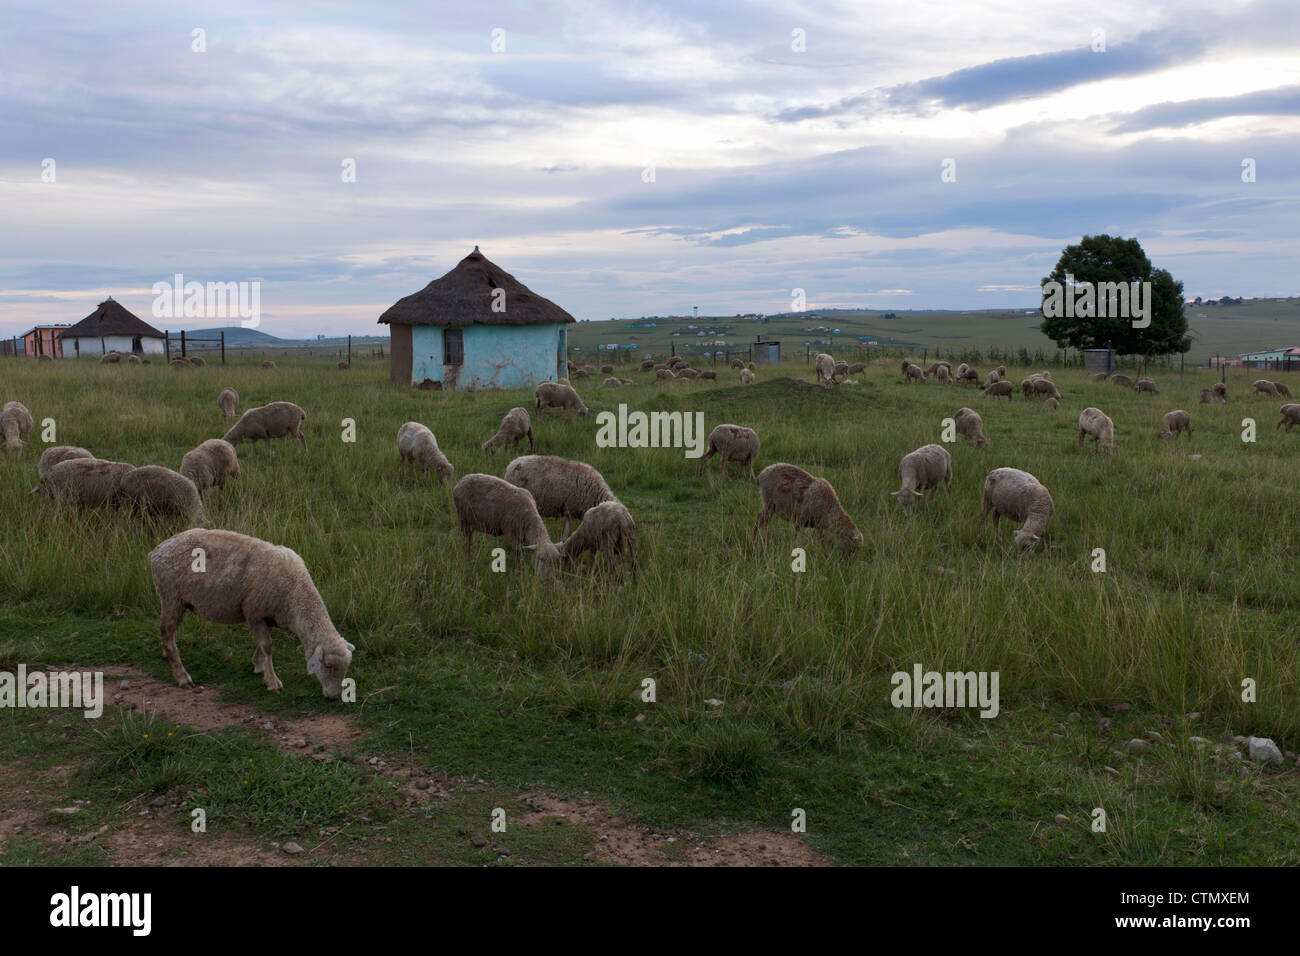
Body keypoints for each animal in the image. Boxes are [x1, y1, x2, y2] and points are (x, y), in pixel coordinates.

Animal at [147, 528, 353, 697]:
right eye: (327, 665)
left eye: (346, 668)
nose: (334, 696)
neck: (296, 592)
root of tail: (156, 550)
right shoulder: (254, 613)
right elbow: (267, 646)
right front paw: (273, 682)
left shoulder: (268, 615)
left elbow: (264, 644)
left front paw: (259, 665)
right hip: (172, 597)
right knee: (166, 630)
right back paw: (182, 676)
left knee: (167, 632)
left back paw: (166, 653)